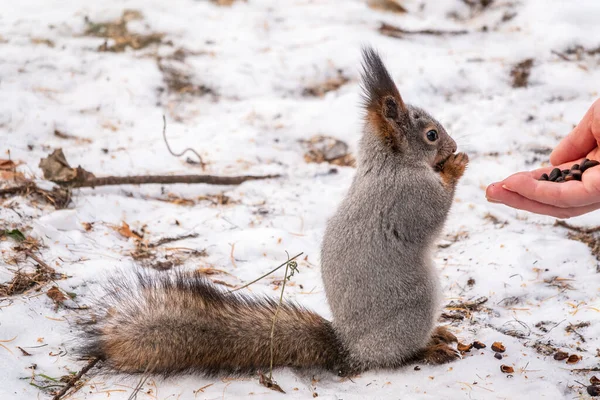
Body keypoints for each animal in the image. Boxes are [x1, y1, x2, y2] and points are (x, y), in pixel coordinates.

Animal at [76, 47, 468, 378]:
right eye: (431, 135)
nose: (453, 145)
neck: (390, 164)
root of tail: (352, 351)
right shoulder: (411, 197)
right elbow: (434, 213)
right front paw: (455, 166)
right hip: (415, 308)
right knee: (398, 356)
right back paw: (428, 349)